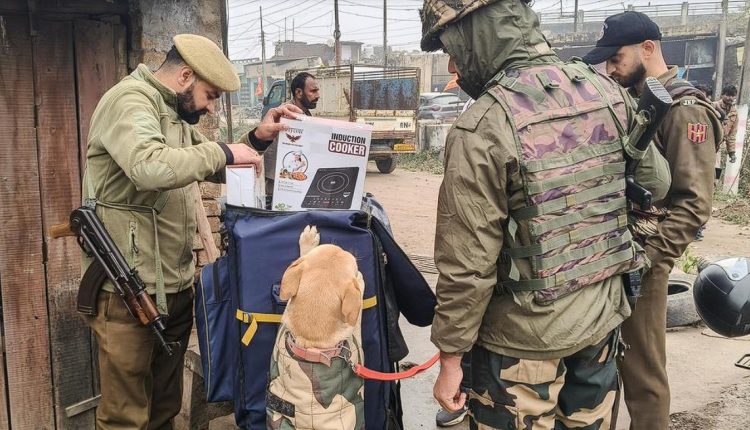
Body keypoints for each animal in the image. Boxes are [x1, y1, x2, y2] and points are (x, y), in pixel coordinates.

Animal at [266, 225, 366, 430]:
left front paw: (307, 241)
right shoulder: (354, 338)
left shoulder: (287, 314)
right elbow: (358, 311)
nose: (347, 249)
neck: (311, 345)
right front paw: (360, 281)